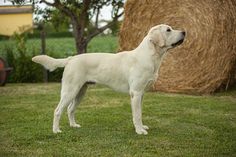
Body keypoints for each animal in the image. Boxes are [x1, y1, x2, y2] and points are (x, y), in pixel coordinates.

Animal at [32, 23, 185, 134]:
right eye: (168, 30)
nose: (184, 32)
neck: (150, 56)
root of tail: (71, 59)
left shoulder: (141, 94)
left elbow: (140, 113)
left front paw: (142, 127)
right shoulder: (135, 93)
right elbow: (137, 114)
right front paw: (139, 131)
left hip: (81, 91)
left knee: (70, 109)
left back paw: (73, 125)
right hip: (70, 90)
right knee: (58, 110)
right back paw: (56, 130)